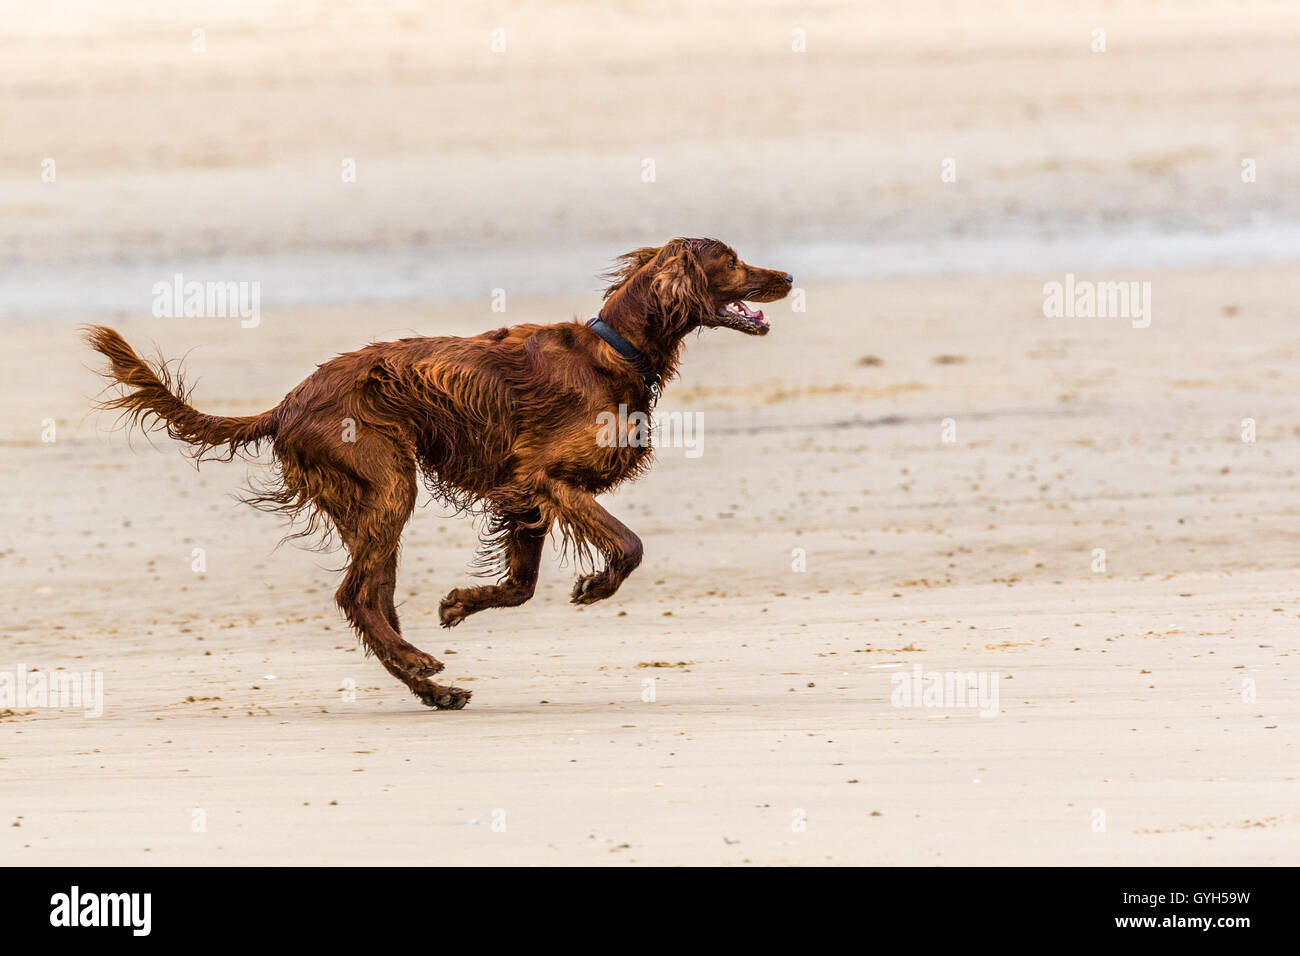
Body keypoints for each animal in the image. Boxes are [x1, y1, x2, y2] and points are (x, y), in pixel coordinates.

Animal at [86, 239, 790, 712]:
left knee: (374, 600)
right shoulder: (546, 477)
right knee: (355, 597)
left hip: (371, 506)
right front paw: (596, 585)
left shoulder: (523, 493)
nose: (786, 275)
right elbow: (629, 545)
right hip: (389, 485)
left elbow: (521, 585)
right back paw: (421, 666)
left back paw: (433, 687)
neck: (615, 351)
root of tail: (287, 404)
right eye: (730, 259)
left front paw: (460, 603)